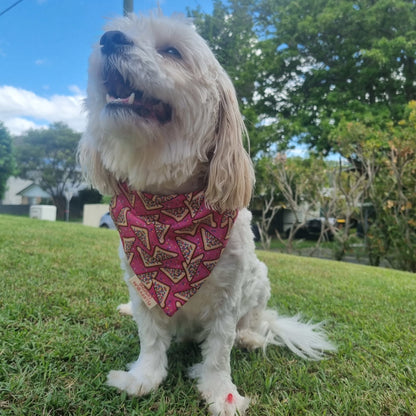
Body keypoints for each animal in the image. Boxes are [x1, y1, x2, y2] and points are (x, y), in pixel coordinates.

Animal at [79, 13, 336, 416]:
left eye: (172, 51)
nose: (110, 39)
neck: (169, 213)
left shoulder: (227, 297)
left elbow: (218, 350)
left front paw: (220, 392)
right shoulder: (142, 285)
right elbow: (150, 337)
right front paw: (143, 377)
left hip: (260, 282)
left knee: (256, 322)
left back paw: (251, 337)